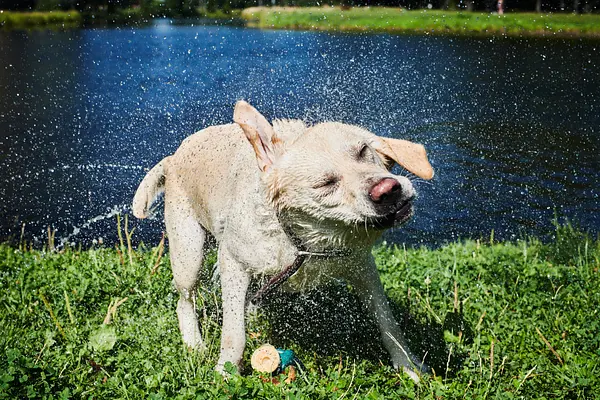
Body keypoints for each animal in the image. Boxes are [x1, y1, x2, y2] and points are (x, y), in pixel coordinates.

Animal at [132, 100, 432, 382]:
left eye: (363, 151)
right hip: (188, 255)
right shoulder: (233, 263)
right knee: (184, 301)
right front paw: (227, 372)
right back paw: (194, 344)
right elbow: (234, 332)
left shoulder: (362, 266)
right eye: (325, 183)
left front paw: (409, 366)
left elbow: (388, 322)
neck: (304, 243)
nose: (388, 190)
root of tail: (174, 157)